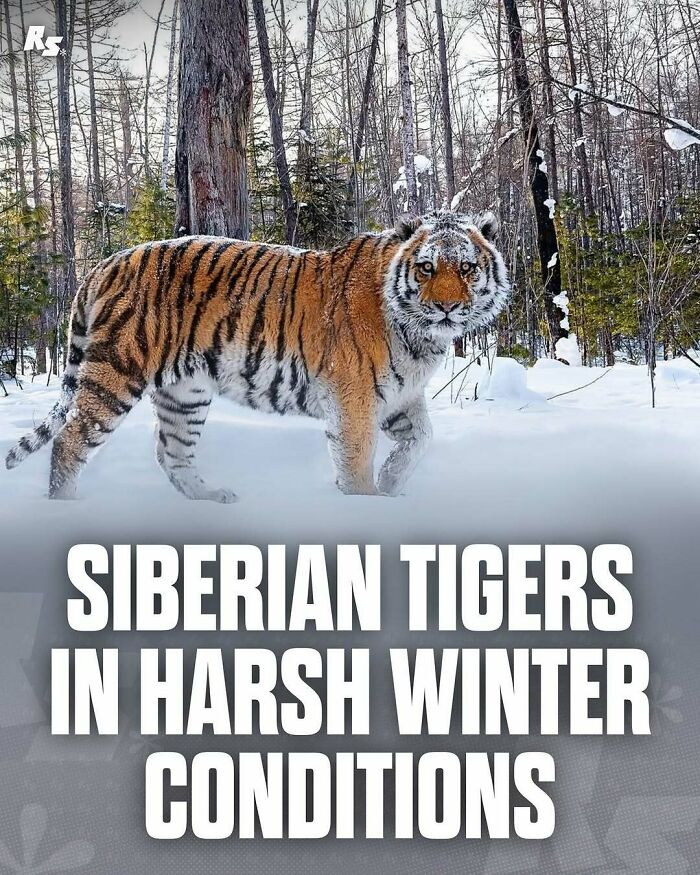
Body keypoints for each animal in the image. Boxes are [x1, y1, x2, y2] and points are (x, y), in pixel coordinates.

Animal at [5, 209, 509, 501]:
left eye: (467, 268)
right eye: (426, 268)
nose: (446, 307)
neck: (420, 336)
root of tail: (105, 262)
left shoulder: (399, 395)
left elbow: (420, 439)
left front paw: (391, 487)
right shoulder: (354, 397)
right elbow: (356, 459)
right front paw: (367, 503)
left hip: (185, 394)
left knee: (171, 452)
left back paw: (209, 498)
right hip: (117, 371)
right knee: (70, 441)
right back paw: (65, 509)